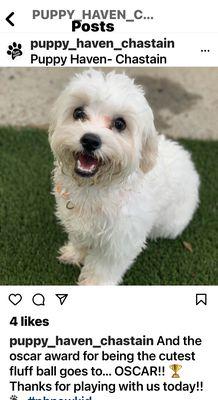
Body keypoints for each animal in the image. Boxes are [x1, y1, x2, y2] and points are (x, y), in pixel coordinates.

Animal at [48, 71, 200, 284]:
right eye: (78, 113)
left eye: (120, 124)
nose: (90, 140)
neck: (94, 187)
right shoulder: (75, 220)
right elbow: (79, 239)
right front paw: (75, 253)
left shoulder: (120, 241)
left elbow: (103, 267)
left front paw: (94, 284)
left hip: (171, 224)